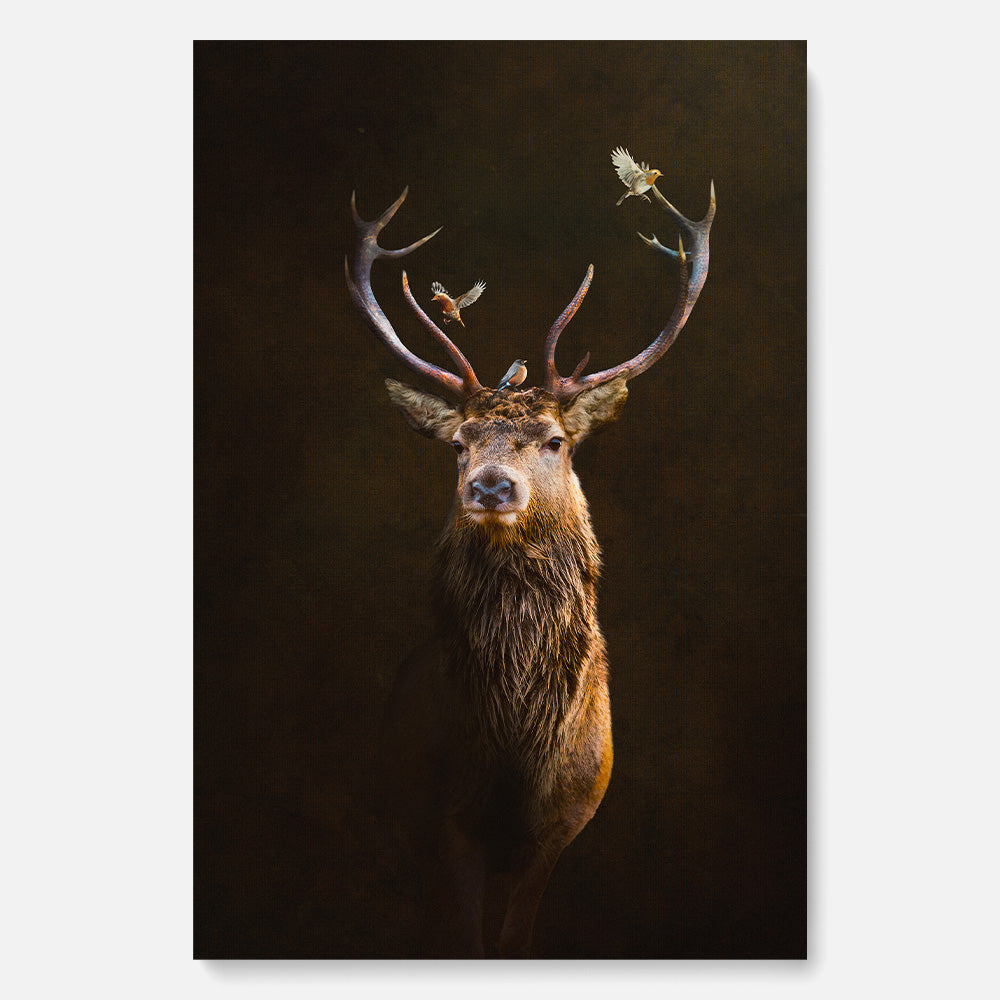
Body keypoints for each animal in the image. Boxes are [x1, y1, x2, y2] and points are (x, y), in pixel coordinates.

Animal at [344, 175, 714, 958]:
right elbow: (462, 937)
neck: (518, 751)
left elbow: (514, 939)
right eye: (458, 444)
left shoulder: (563, 825)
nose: (490, 486)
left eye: (553, 440)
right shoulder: (445, 821)